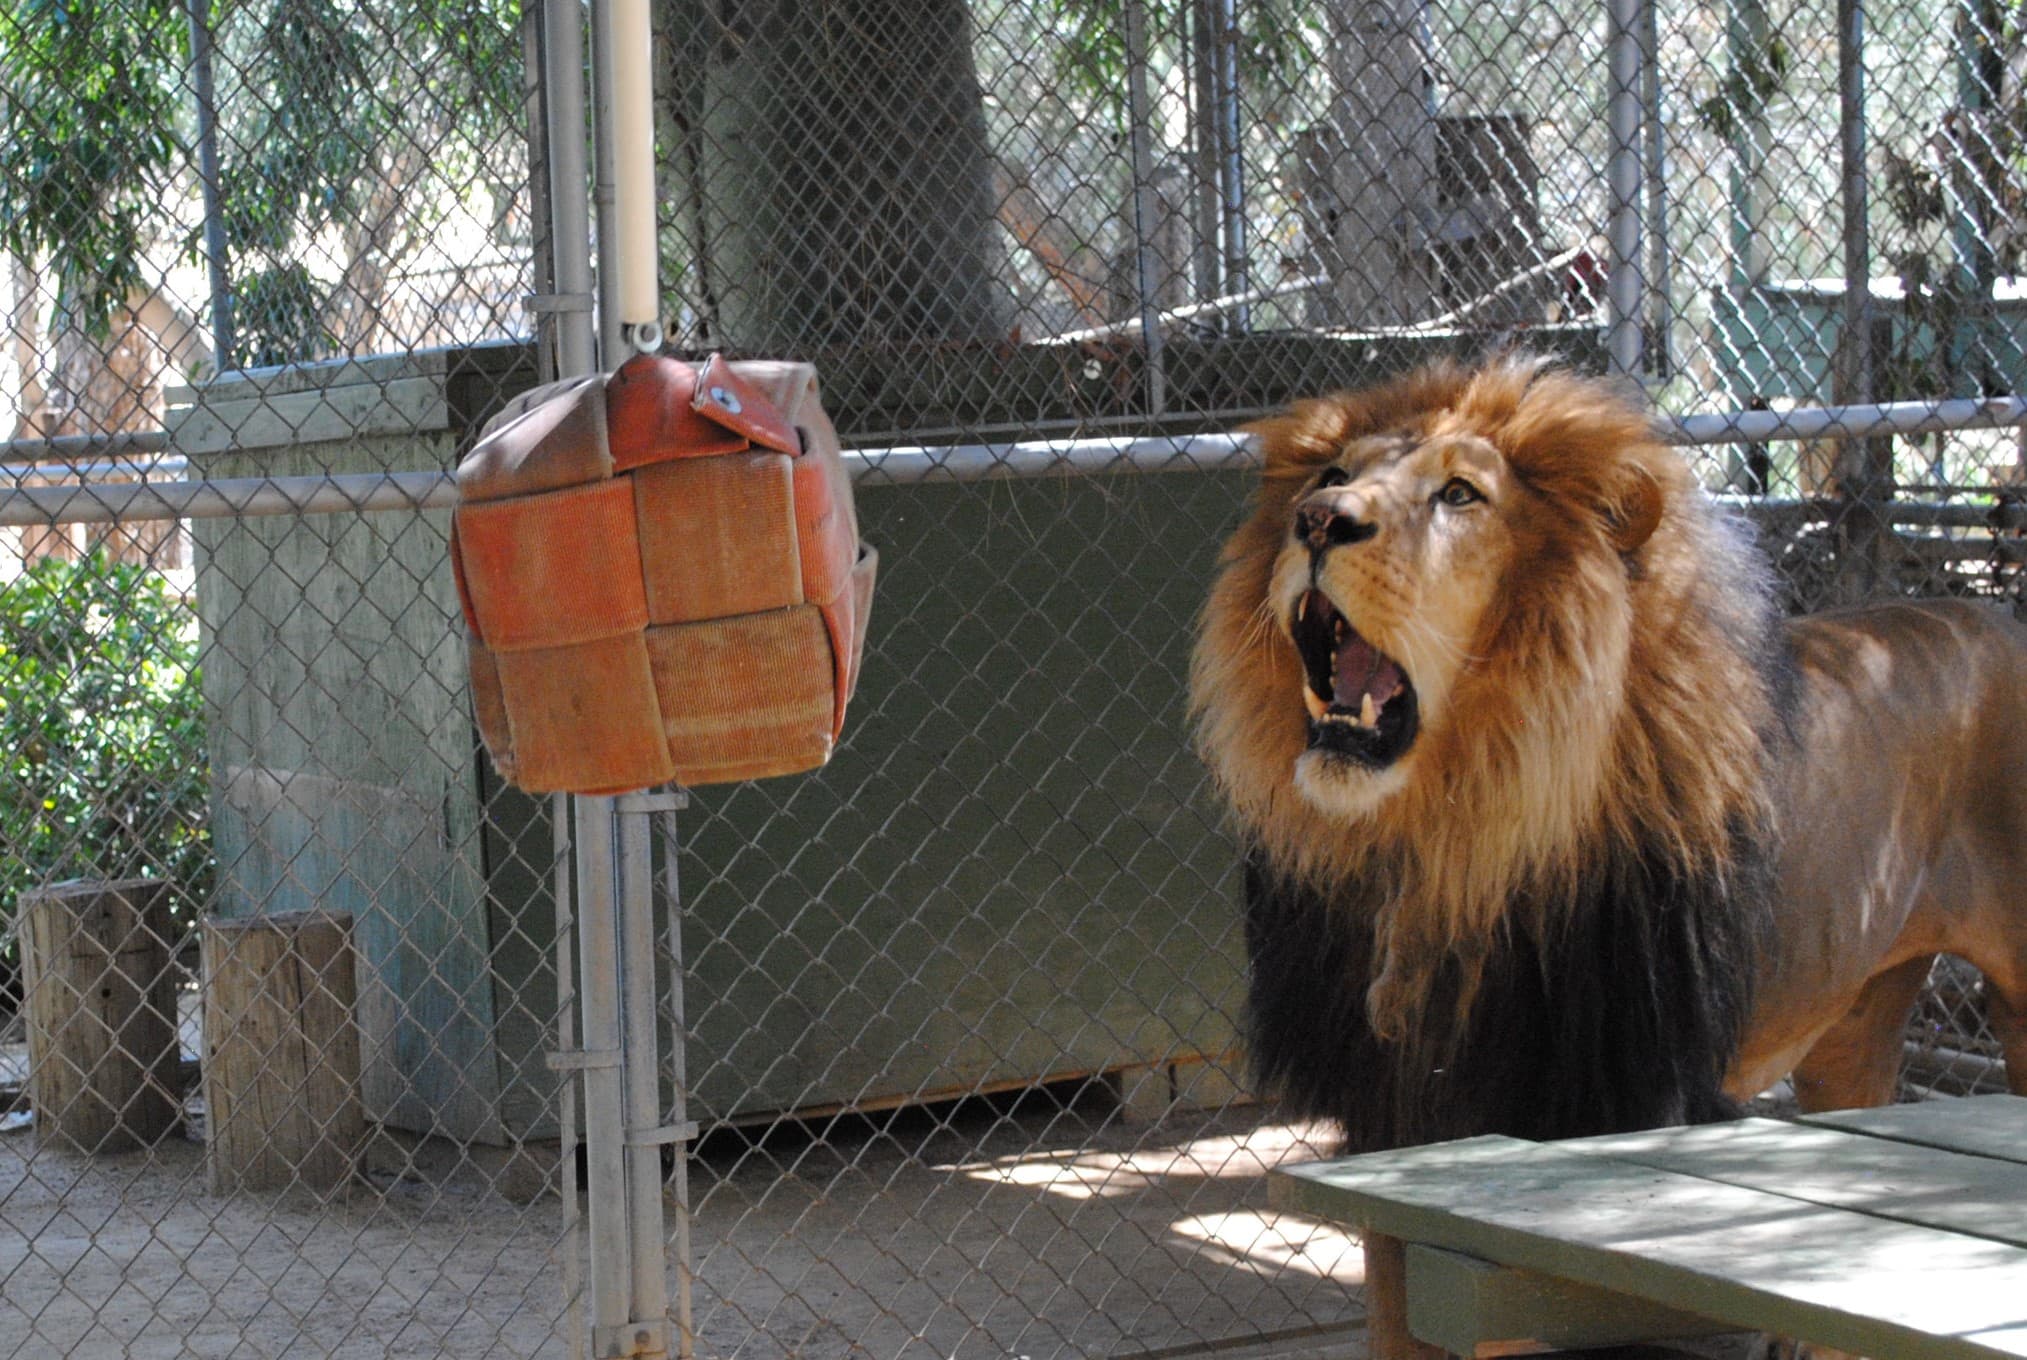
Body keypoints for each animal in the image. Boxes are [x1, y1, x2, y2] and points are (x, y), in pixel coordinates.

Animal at [1191, 355, 2027, 1152]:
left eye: (1459, 494)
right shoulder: (1391, 1109)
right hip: (1853, 1026)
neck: (1447, 839)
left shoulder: (1631, 1094)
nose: (1317, 520)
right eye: (1333, 477)